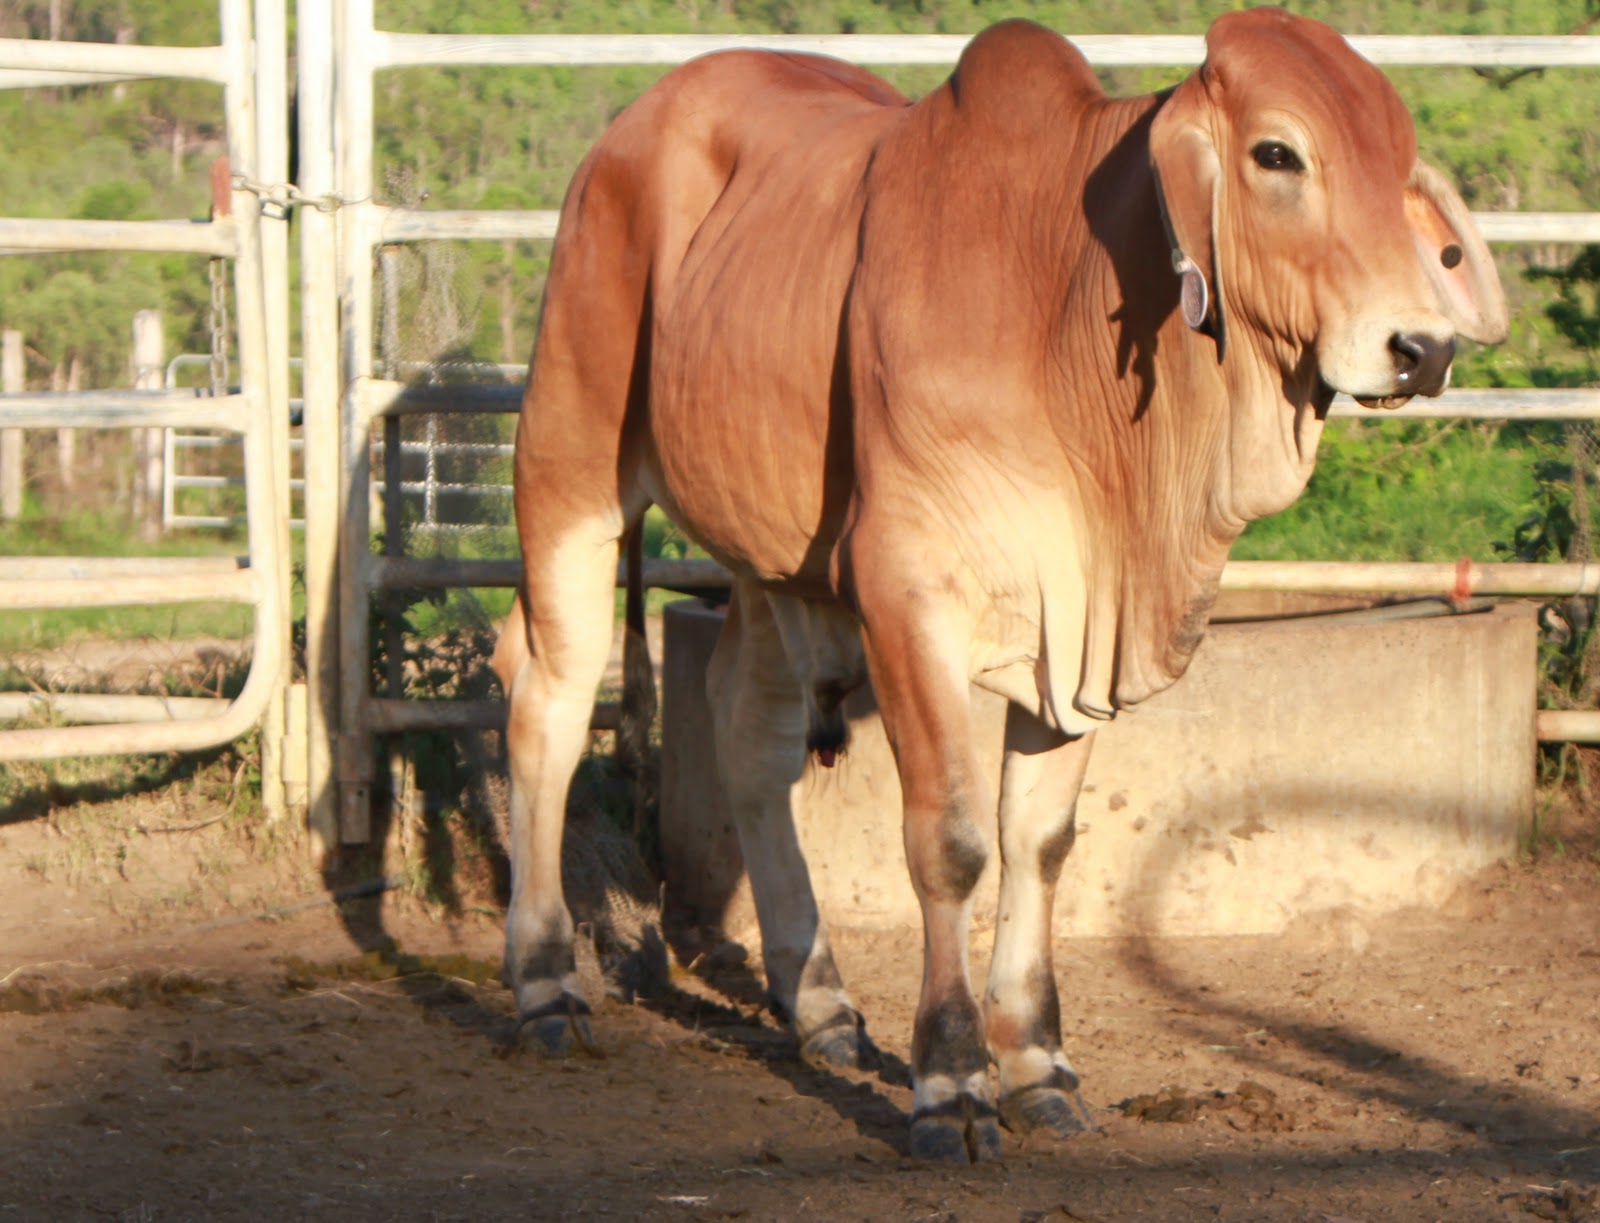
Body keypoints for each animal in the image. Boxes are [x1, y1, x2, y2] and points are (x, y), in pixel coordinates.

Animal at [491, 7, 1507, 1164]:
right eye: (1277, 153)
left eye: (1397, 157)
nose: (1420, 346)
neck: (1064, 306)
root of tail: (632, 127)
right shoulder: (907, 588)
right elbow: (954, 841)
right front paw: (951, 1078)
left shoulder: (1079, 632)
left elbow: (1040, 842)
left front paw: (1034, 1062)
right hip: (570, 458)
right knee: (547, 694)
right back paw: (544, 984)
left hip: (770, 553)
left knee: (749, 728)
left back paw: (820, 1003)